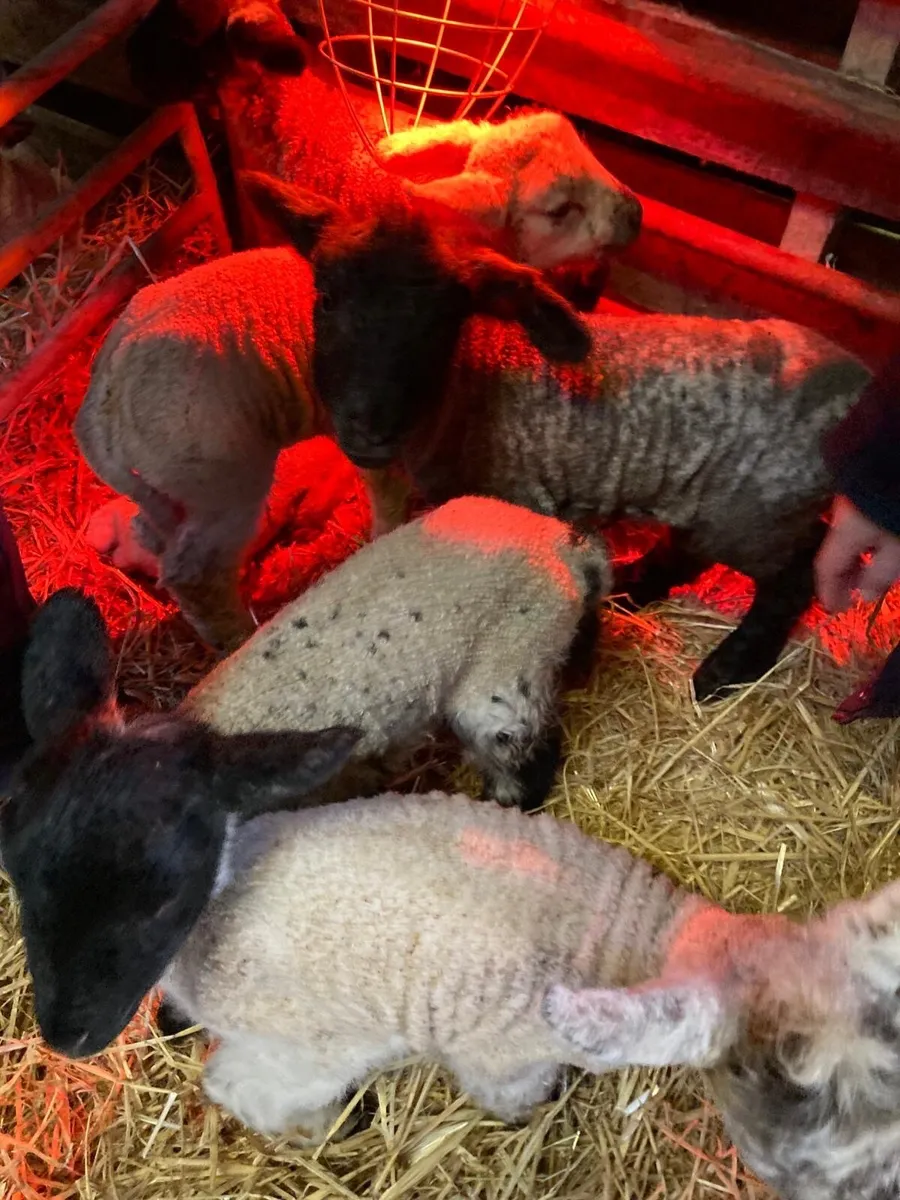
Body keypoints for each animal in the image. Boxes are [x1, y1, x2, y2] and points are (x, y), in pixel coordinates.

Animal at [7, 743, 900, 1200]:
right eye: (781, 1076)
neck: (635, 935)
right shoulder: (502, 1056)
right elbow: (513, 1094)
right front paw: (531, 1116)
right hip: (309, 1038)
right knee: (243, 1086)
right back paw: (317, 1127)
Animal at [73, 233, 590, 651]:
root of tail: (100, 400)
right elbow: (390, 492)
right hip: (221, 481)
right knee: (195, 574)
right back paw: (238, 637)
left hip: (168, 489)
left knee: (155, 538)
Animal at [251, 177, 873, 702]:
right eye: (326, 298)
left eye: (439, 322)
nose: (366, 428)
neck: (469, 387)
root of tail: (856, 381)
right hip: (724, 500)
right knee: (701, 549)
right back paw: (634, 587)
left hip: (757, 511)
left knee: (796, 574)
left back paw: (726, 670)